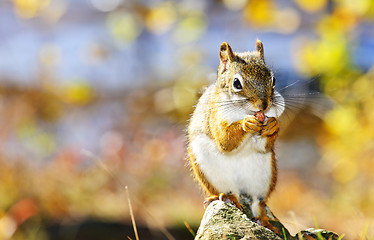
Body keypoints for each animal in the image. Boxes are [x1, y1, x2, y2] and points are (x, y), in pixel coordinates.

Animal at [188, 39, 284, 232]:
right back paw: (228, 197)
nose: (263, 105)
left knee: (258, 203)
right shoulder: (216, 116)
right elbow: (225, 140)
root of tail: (241, 193)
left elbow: (264, 144)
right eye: (237, 83)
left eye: (273, 80)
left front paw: (273, 125)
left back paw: (264, 221)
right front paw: (247, 124)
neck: (243, 110)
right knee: (227, 192)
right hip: (210, 173)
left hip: (264, 177)